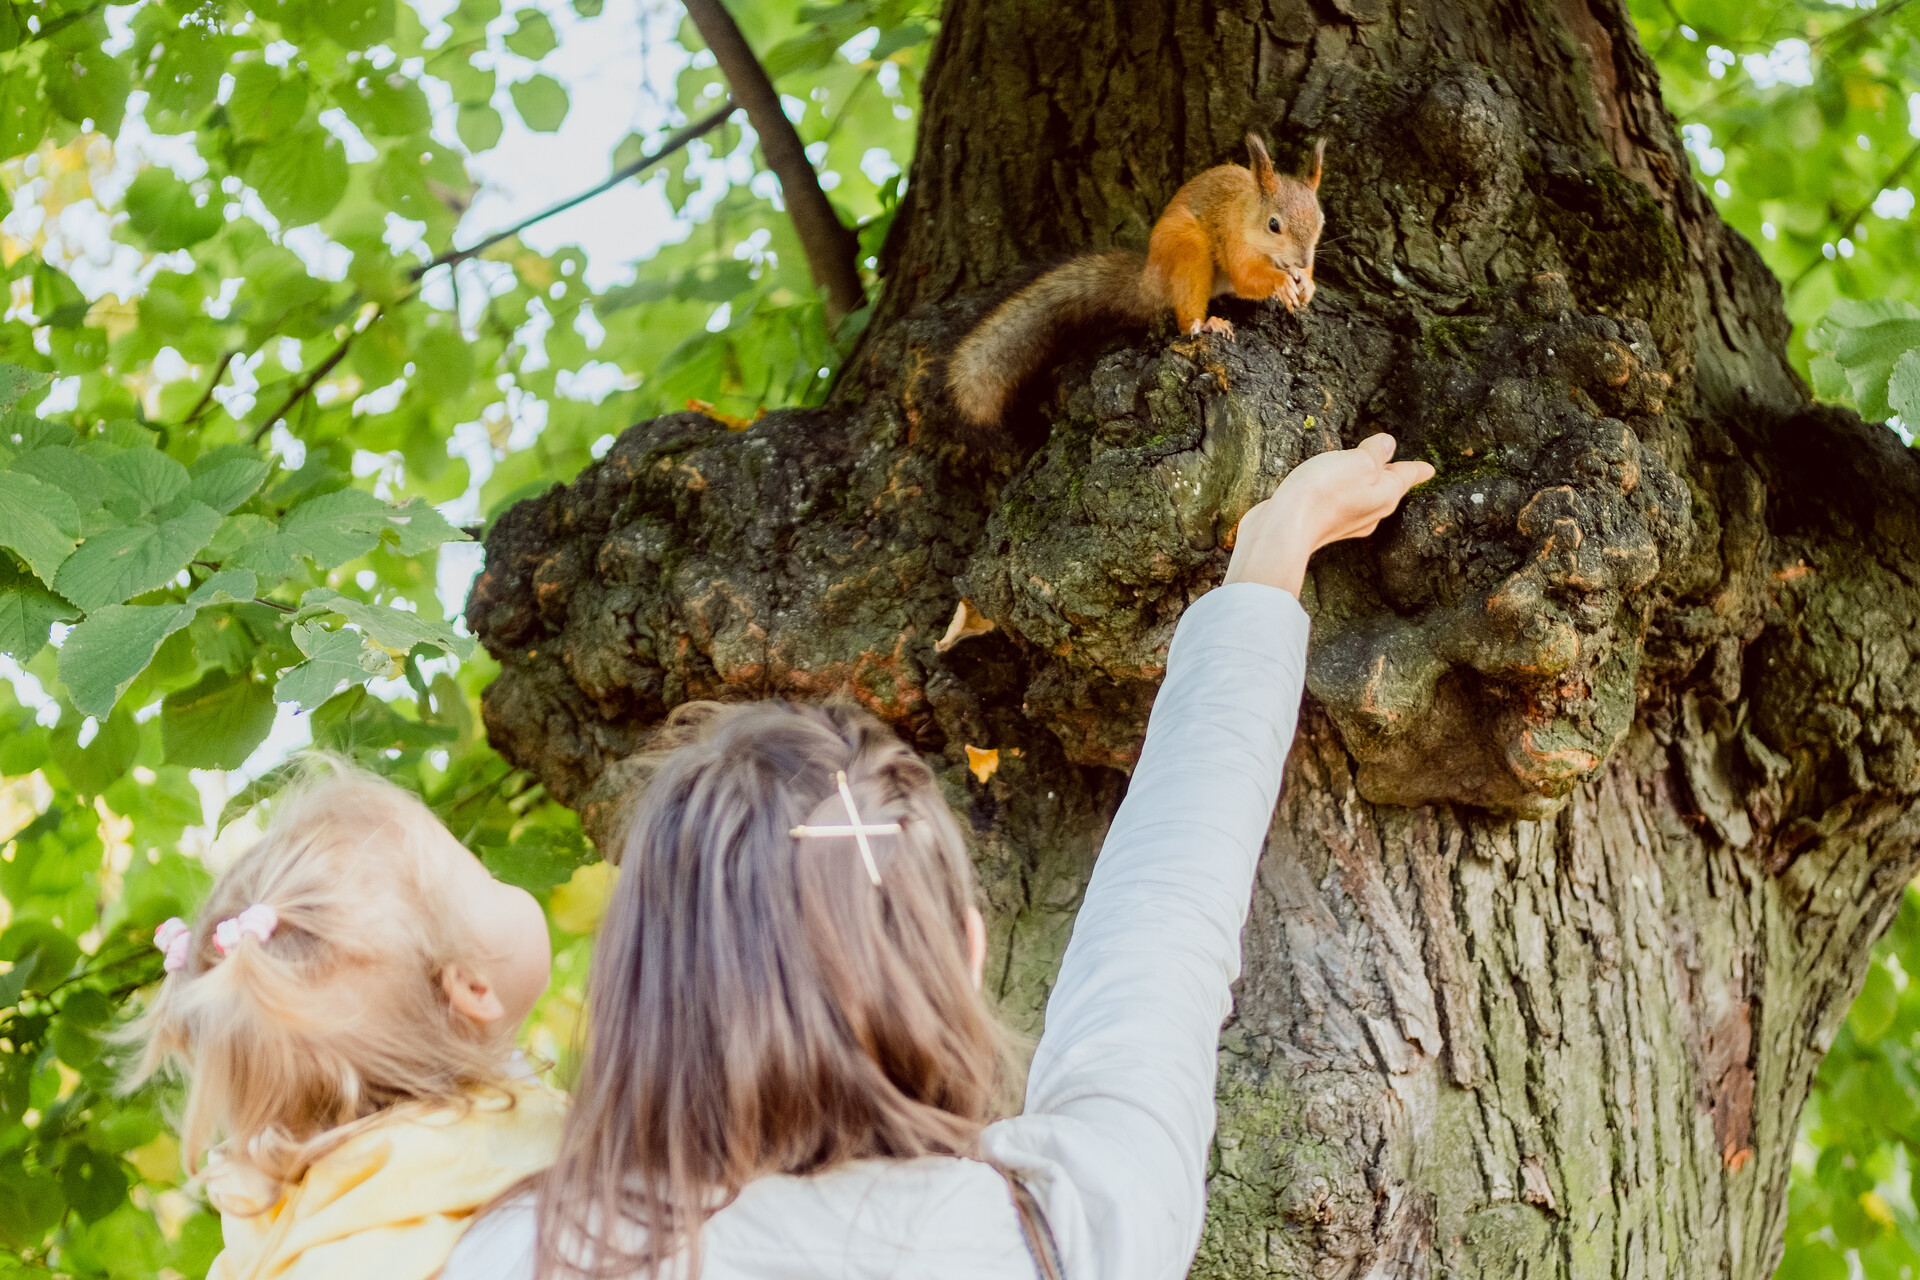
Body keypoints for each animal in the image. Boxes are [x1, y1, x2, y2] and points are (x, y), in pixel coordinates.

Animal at [948, 135, 1336, 426]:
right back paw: (1204, 323)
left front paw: (1307, 284)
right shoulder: (1234, 241)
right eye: (1274, 225)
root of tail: (1152, 277)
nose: (1303, 261)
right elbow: (1246, 278)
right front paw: (1281, 285)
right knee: (1187, 313)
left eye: (1321, 220)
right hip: (1187, 248)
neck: (1247, 214)